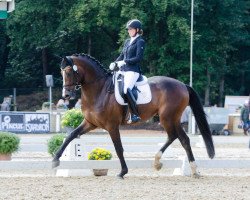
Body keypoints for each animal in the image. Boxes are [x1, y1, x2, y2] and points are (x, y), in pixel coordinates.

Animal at [53, 52, 215, 178]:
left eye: (69, 72)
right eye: (61, 73)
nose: (66, 95)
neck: (99, 90)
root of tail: (183, 85)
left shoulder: (112, 126)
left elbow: (118, 148)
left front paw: (123, 172)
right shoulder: (90, 123)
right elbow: (71, 135)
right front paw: (55, 160)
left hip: (167, 117)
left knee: (175, 136)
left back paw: (163, 163)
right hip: (172, 118)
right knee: (182, 139)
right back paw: (190, 169)